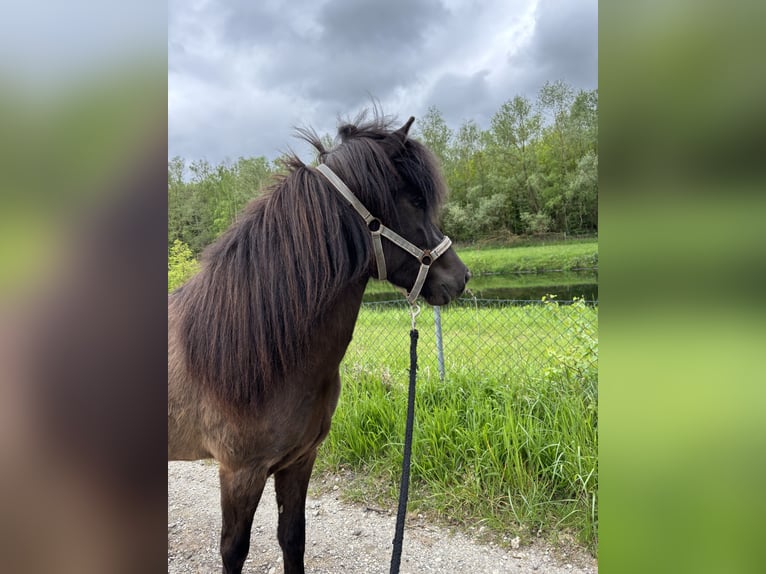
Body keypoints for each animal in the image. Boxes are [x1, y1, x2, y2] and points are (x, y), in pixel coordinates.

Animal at [169, 113, 472, 574]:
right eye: (414, 200)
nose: (460, 278)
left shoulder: (299, 461)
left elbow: (292, 538)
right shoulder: (239, 473)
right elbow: (233, 551)